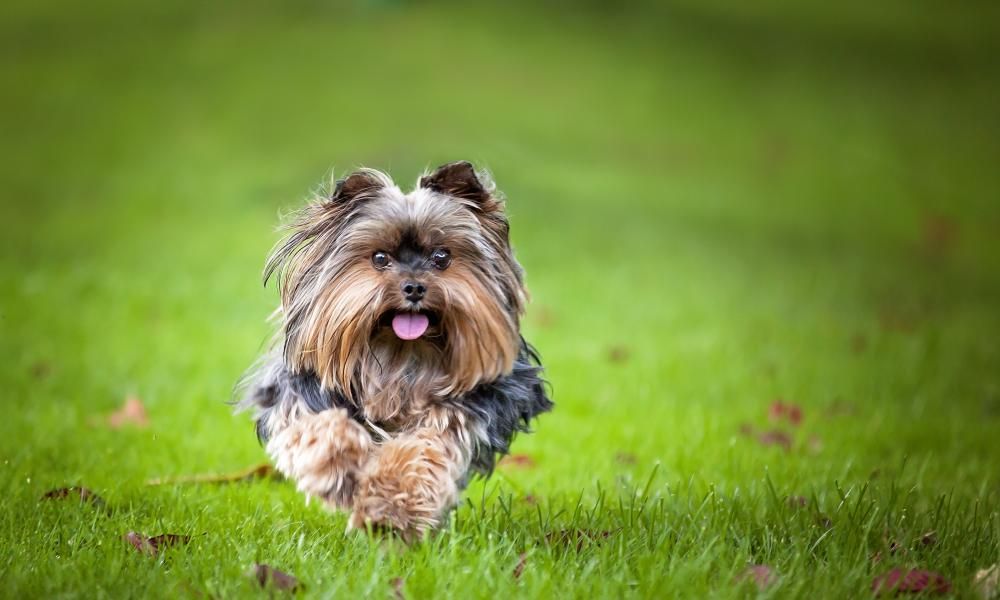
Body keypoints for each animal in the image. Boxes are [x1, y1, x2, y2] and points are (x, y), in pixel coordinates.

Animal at [240, 159, 556, 540]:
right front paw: (344, 469)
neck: (401, 357)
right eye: (380, 258)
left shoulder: (473, 405)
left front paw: (390, 506)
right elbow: (319, 428)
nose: (414, 287)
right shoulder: (297, 391)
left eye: (441, 257)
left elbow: (429, 444)